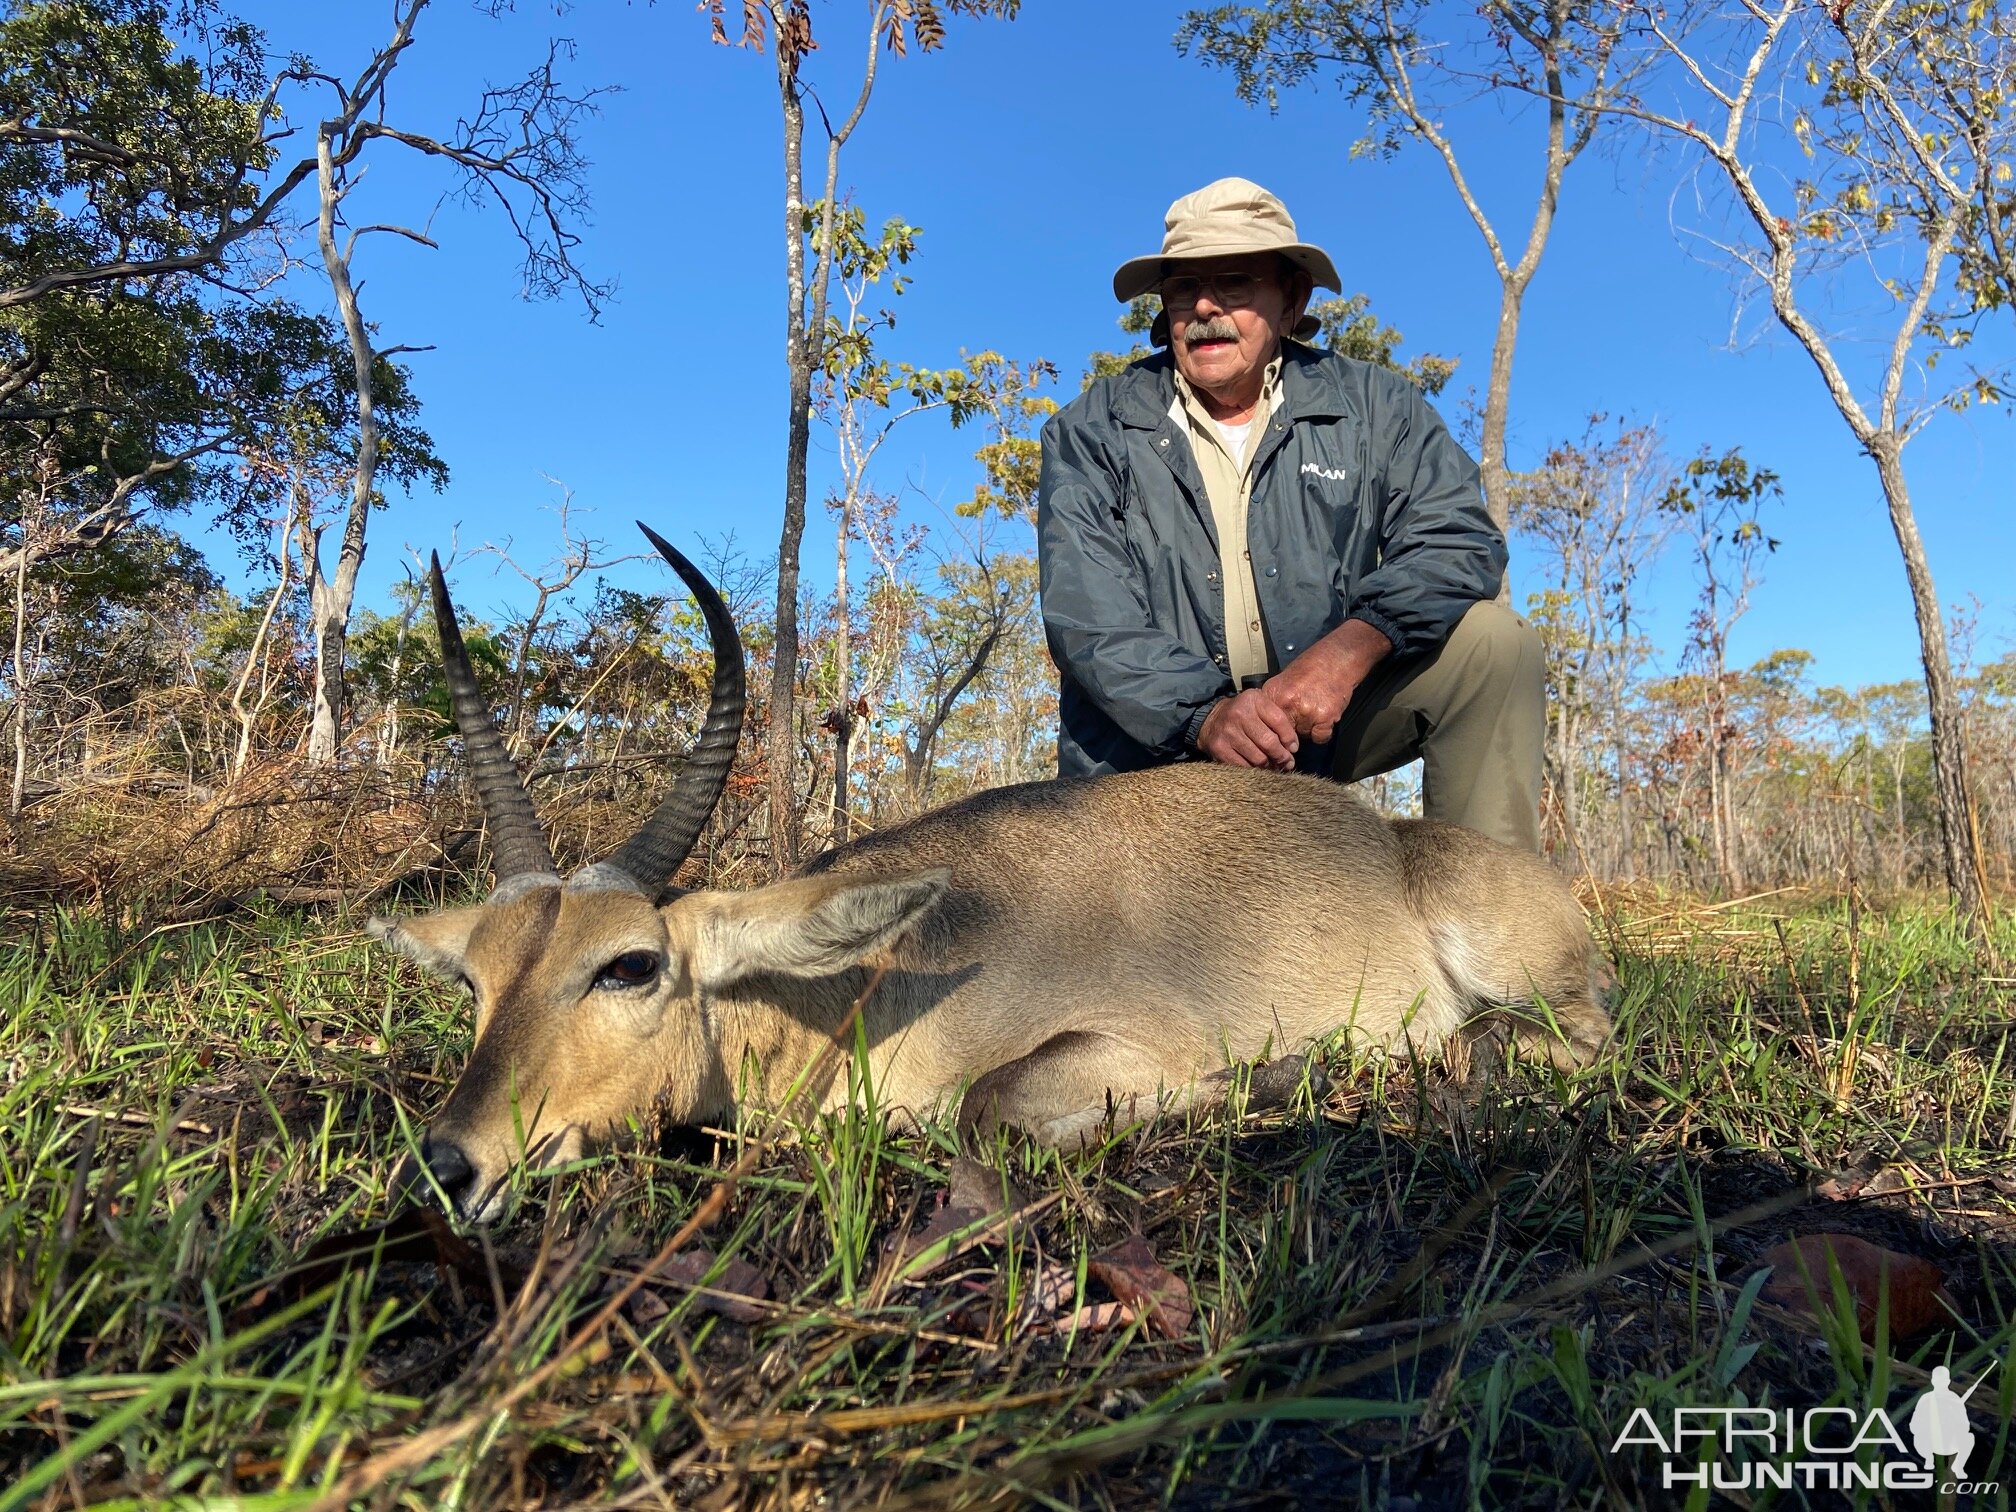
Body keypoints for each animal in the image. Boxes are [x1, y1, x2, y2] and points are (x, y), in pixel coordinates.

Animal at [370, 528, 1612, 1225]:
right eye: (476, 980)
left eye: (626, 965)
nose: (447, 1166)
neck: (867, 985)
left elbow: (985, 1105)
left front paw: (1263, 1083)